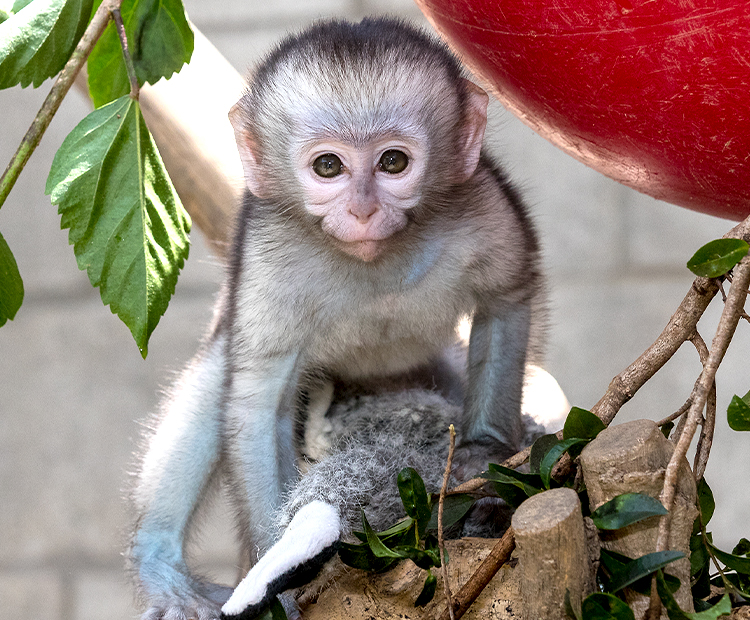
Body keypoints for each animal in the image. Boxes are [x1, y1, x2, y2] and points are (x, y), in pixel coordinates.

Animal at [129, 17, 548, 620]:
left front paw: (485, 452)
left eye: (392, 162)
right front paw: (279, 580)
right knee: (217, 376)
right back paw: (161, 565)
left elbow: (507, 299)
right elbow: (258, 405)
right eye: (328, 166)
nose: (364, 210)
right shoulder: (267, 252)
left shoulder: (485, 205)